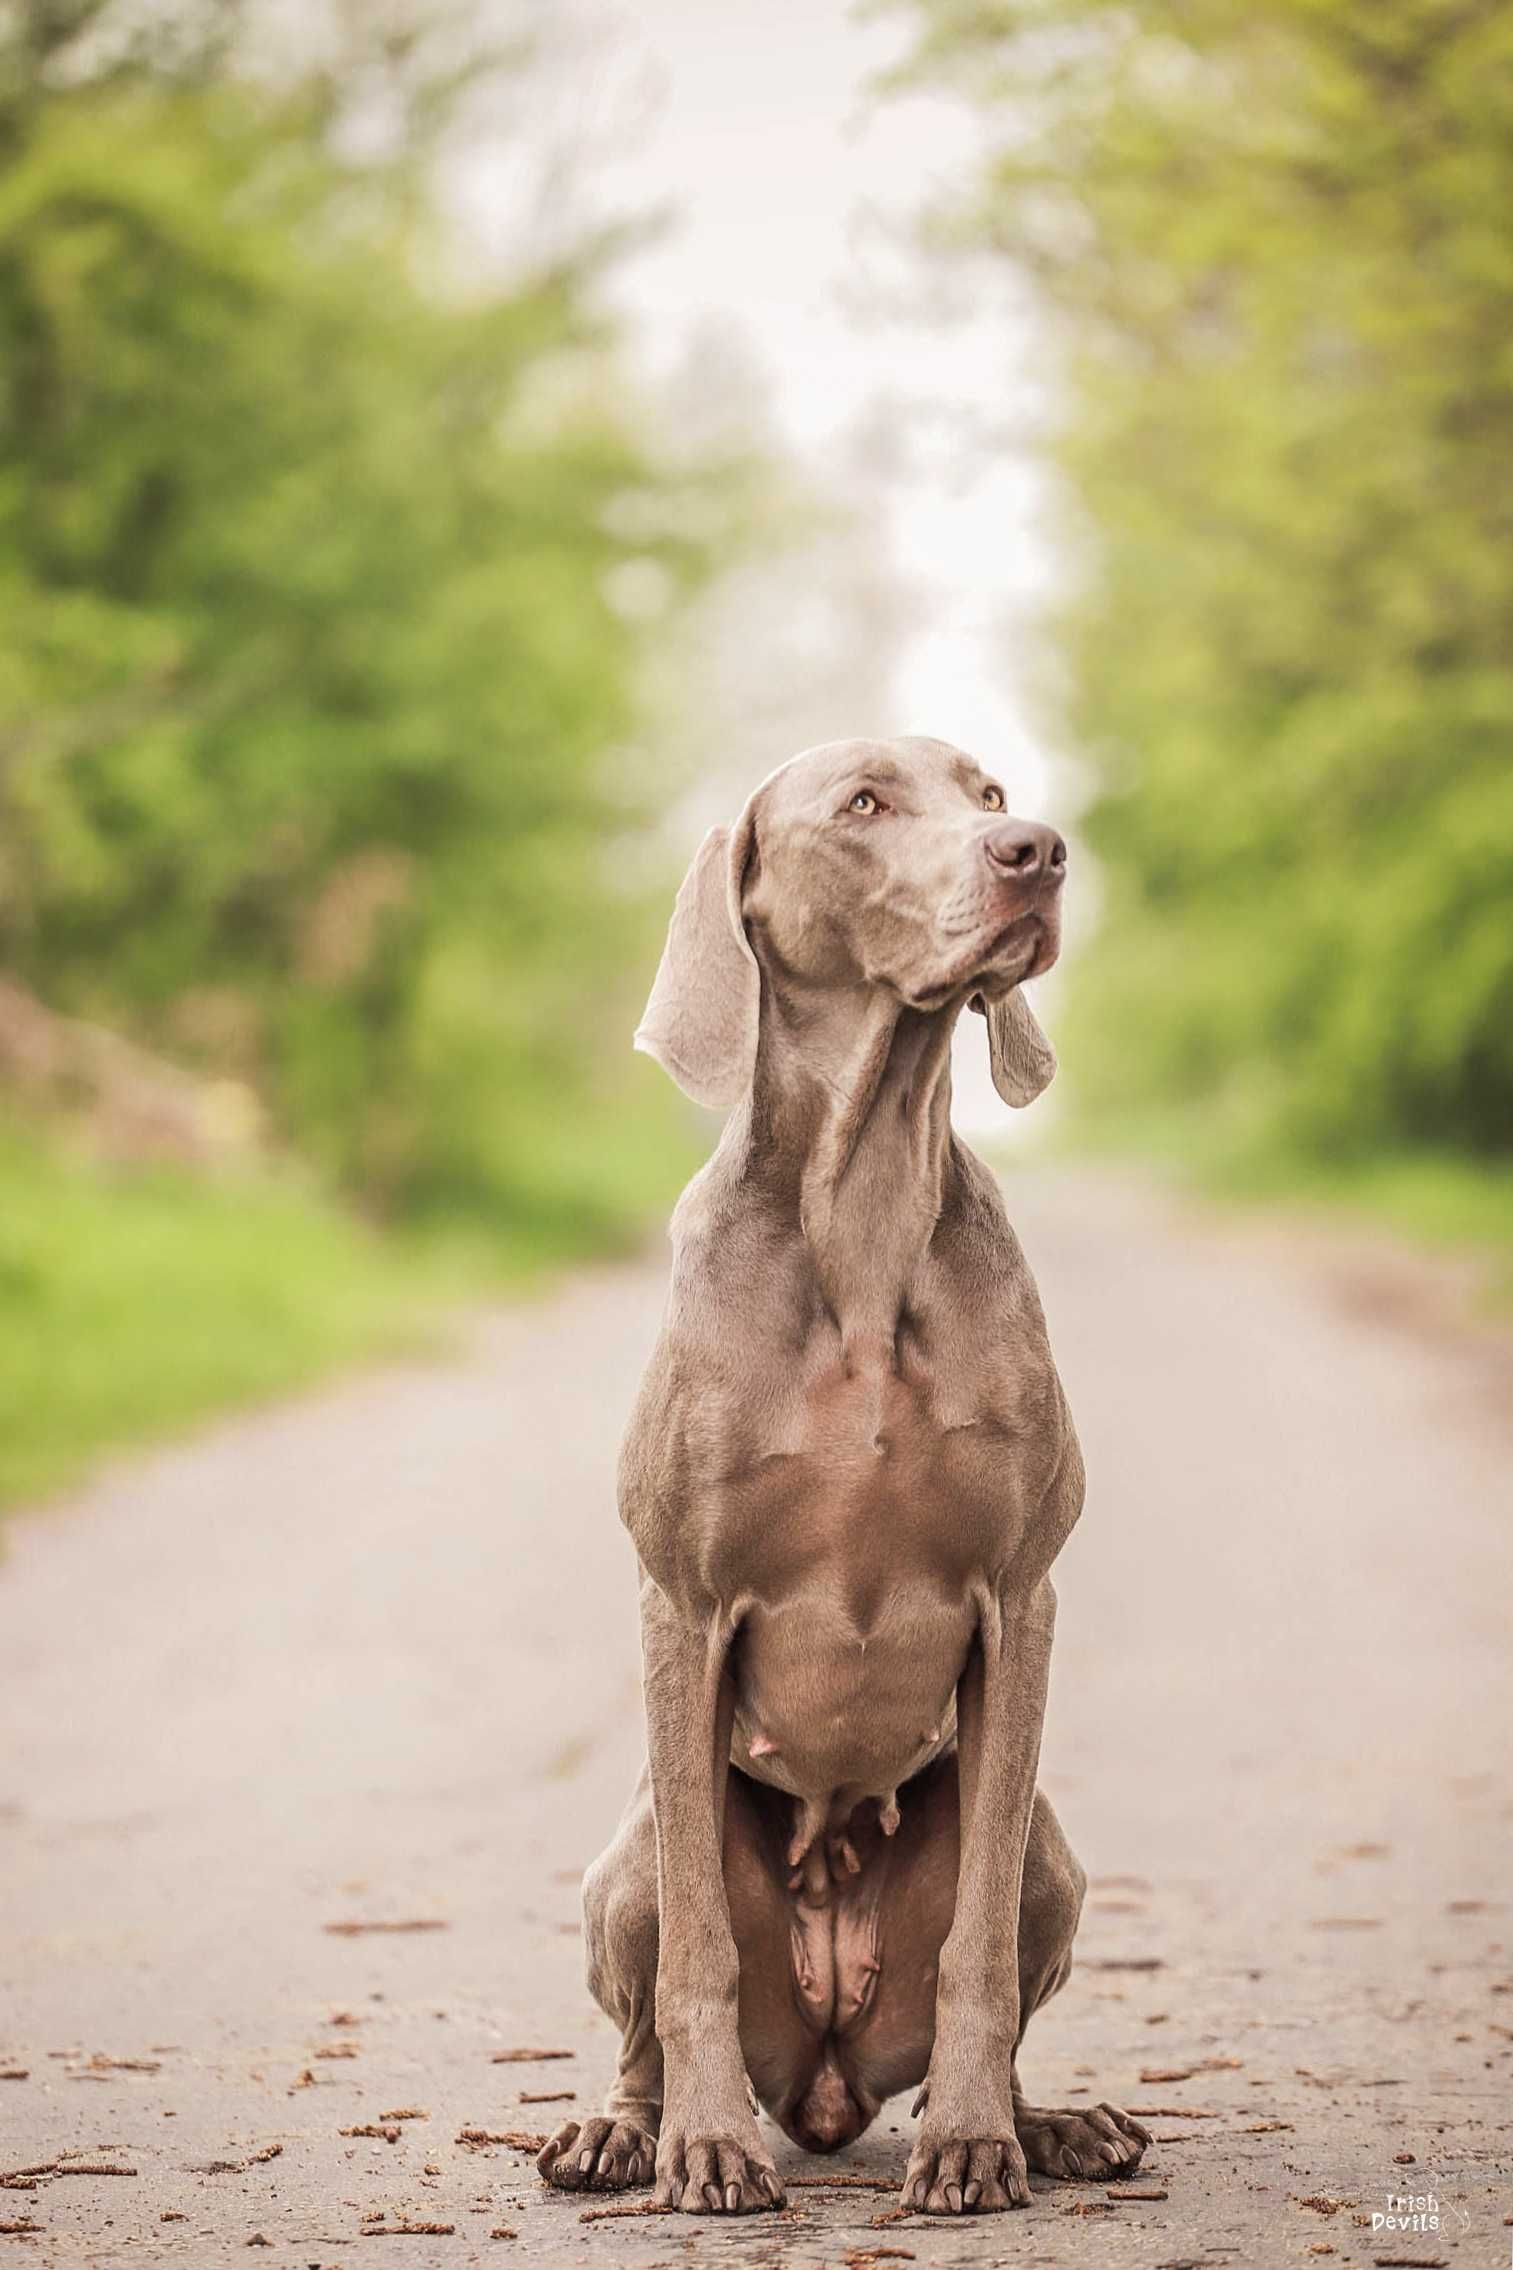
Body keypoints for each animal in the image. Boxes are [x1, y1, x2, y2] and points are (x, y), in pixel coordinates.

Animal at [537, 730, 1152, 2215]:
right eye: (863, 803)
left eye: (990, 796)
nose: (1037, 850)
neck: (863, 1215)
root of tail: (822, 2078)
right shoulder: (681, 1602)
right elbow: (697, 1954)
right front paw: (705, 2146)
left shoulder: (1020, 1595)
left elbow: (977, 1951)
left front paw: (974, 2141)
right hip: (628, 1857)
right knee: (647, 2004)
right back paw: (625, 2131)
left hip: (1048, 1850)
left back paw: (1049, 2122)